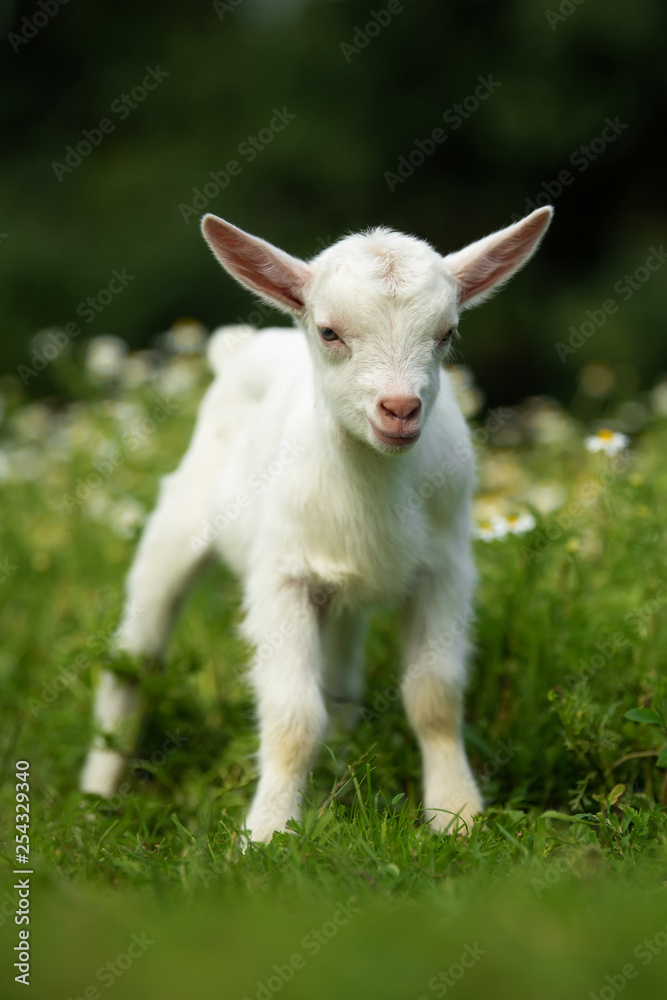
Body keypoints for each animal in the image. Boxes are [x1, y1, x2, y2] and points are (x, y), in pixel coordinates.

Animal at [79, 205, 552, 844]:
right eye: (330, 333)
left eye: (446, 333)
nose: (400, 410)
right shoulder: (283, 576)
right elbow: (293, 717)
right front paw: (267, 832)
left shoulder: (445, 570)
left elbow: (434, 699)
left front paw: (457, 816)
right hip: (176, 526)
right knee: (136, 657)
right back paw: (97, 793)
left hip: (344, 600)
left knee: (341, 678)